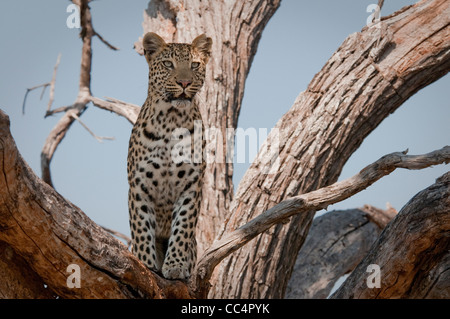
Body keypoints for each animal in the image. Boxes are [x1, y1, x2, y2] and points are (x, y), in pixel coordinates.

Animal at [126, 32, 211, 280]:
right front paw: (145, 263)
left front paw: (175, 265)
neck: (171, 121)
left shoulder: (191, 186)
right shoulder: (139, 186)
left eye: (195, 65)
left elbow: (182, 226)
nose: (184, 83)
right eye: (167, 64)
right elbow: (142, 227)